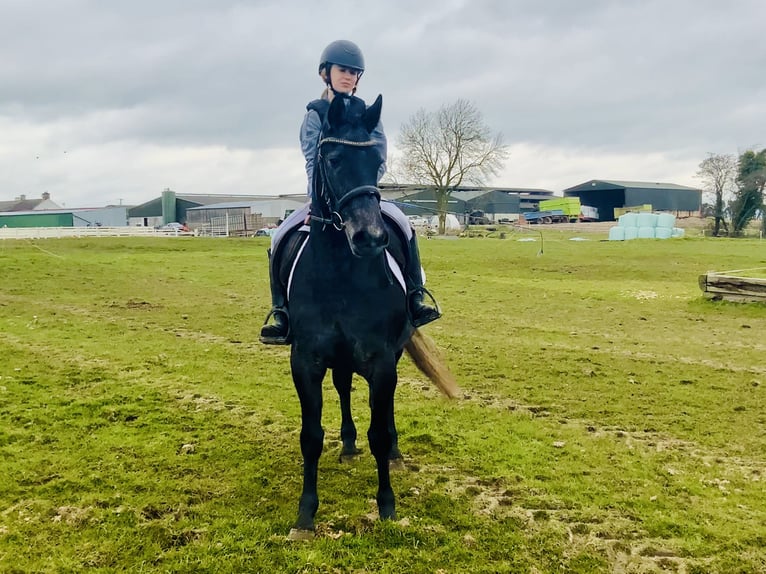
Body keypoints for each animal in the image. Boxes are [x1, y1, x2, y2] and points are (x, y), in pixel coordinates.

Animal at [278, 94, 452, 540]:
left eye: (377, 159)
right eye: (333, 158)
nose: (371, 238)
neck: (341, 273)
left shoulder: (381, 359)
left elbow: (379, 430)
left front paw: (387, 506)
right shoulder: (305, 361)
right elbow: (310, 436)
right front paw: (305, 516)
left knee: (383, 415)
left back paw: (393, 453)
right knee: (342, 388)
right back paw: (348, 443)